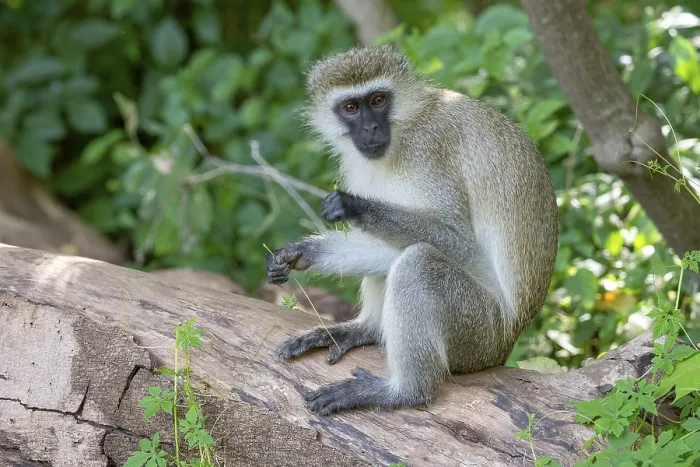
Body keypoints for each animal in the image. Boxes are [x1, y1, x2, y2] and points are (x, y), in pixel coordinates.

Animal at [265, 45, 558, 416]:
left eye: (378, 100)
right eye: (351, 107)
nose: (371, 128)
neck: (404, 129)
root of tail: (506, 345)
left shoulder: (427, 152)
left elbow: (461, 243)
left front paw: (352, 206)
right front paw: (303, 253)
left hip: (479, 333)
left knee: (418, 264)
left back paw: (404, 392)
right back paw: (364, 330)